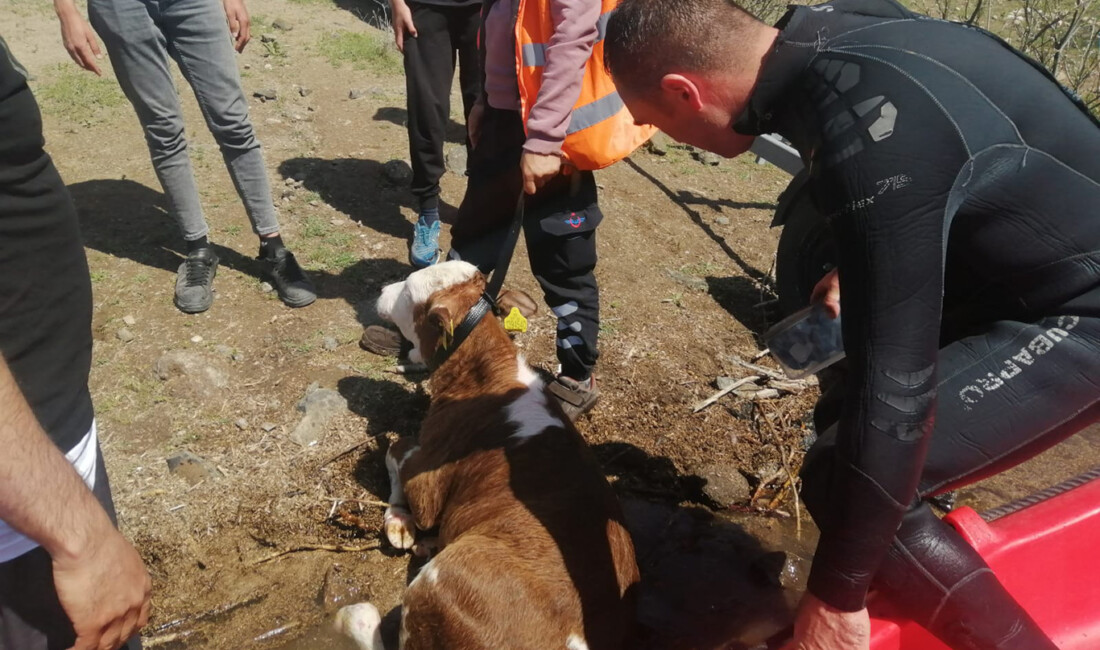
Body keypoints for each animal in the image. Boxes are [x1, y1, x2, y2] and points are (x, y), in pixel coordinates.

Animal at [338, 261, 642, 646]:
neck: (485, 375)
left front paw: (398, 518)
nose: (382, 291)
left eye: (407, 290)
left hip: (443, 582)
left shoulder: (429, 486)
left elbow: (396, 449)